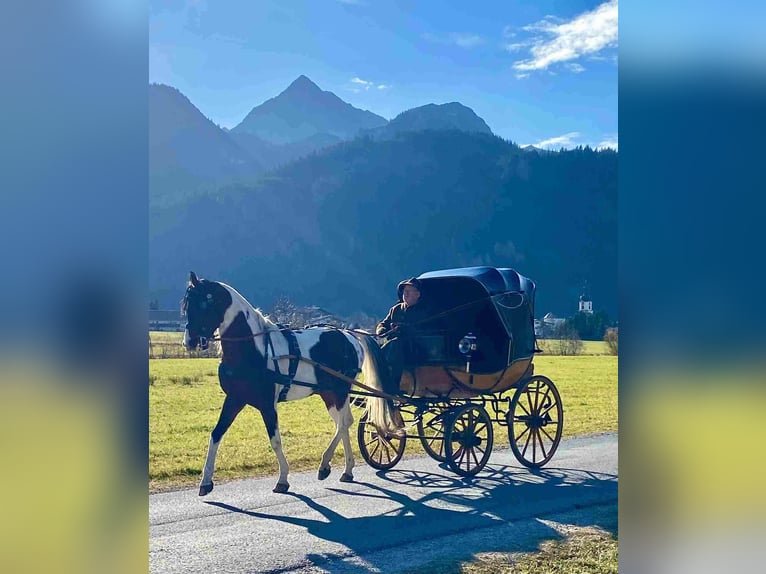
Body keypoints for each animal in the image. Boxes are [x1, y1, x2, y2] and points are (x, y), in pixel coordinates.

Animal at [181, 272, 399, 495]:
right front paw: (206, 481)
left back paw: (325, 464)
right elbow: (216, 434)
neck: (253, 349)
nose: (189, 342)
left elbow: (275, 440)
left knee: (343, 423)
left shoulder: (268, 405)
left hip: (338, 391)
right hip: (330, 393)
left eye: (202, 304)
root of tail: (349, 334)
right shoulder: (235, 399)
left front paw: (283, 479)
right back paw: (346, 470)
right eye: (186, 305)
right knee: (344, 422)